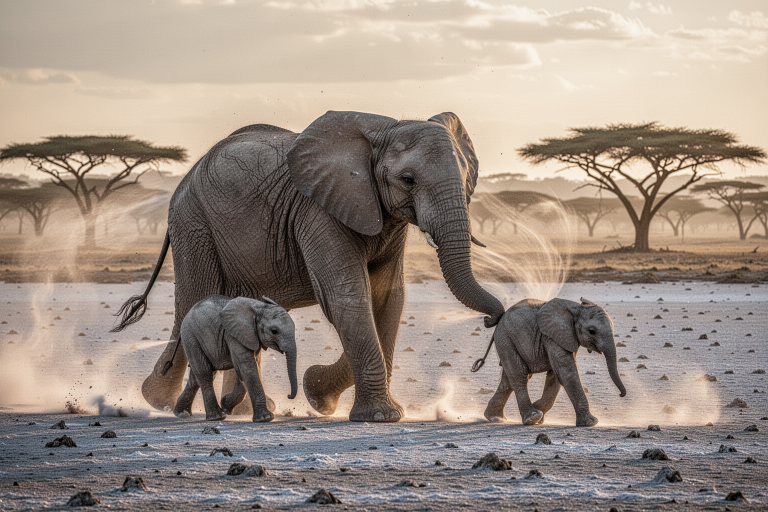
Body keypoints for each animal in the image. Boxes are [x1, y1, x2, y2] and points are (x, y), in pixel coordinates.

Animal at [112, 110, 505, 423]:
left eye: (467, 179)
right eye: (408, 180)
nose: (493, 319)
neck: (383, 129)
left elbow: (388, 298)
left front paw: (322, 396)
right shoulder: (319, 209)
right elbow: (347, 296)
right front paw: (376, 415)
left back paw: (237, 410)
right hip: (193, 224)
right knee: (193, 299)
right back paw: (157, 402)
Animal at [475, 297, 626, 427]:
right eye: (592, 331)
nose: (621, 394)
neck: (577, 308)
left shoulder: (566, 337)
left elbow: (556, 375)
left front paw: (540, 411)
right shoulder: (553, 336)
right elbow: (566, 372)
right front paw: (591, 423)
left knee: (508, 380)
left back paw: (495, 418)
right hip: (505, 339)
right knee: (519, 375)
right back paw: (532, 417)